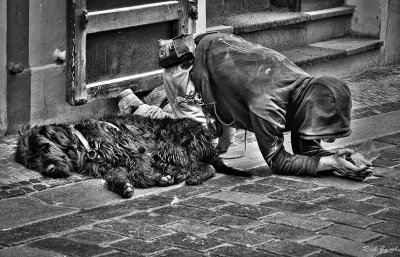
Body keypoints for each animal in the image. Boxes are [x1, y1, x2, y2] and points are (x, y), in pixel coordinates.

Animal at [14, 113, 250, 196]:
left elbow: (137, 172)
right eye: (32, 163)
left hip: (168, 146)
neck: (84, 142)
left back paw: (190, 176)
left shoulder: (134, 153)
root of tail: (206, 137)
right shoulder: (113, 166)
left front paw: (148, 179)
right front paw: (123, 186)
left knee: (206, 166)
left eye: (44, 148)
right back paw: (172, 175)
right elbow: (115, 177)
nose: (50, 170)